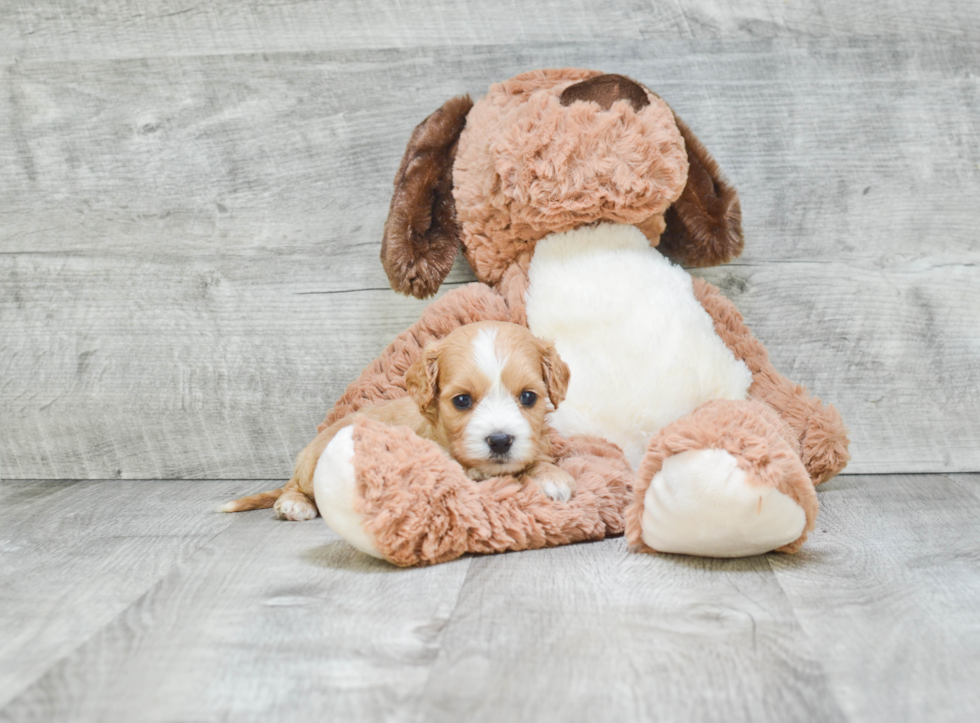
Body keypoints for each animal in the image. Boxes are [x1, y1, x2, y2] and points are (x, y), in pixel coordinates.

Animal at [222, 322, 576, 520]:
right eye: (462, 401)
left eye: (528, 397)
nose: (500, 441)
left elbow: (537, 459)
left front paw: (551, 476)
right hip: (314, 464)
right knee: (295, 487)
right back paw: (295, 505)